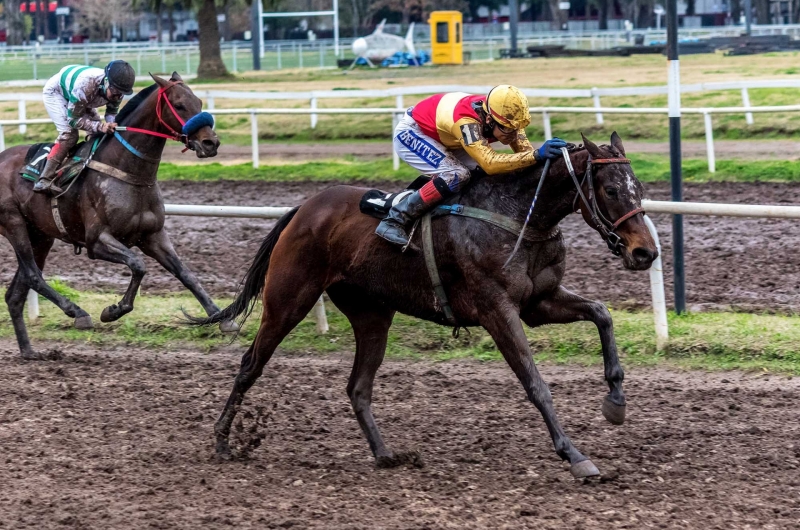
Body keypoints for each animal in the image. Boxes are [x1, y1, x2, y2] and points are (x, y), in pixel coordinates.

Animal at [1, 71, 234, 358]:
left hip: (41, 235)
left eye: (199, 102)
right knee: (33, 275)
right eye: (179, 105)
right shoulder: (97, 241)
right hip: (14, 223)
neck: (128, 172)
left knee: (16, 292)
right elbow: (138, 265)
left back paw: (28, 351)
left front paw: (222, 317)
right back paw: (77, 312)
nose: (210, 142)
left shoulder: (153, 236)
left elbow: (186, 273)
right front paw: (113, 311)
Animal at [192, 133, 656, 478]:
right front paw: (575, 456)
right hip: (288, 300)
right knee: (251, 364)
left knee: (358, 387)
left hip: (372, 314)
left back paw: (386, 454)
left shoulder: (537, 303)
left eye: (641, 189)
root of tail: (305, 208)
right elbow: (535, 383)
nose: (645, 252)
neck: (519, 215)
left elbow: (602, 313)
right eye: (612, 189)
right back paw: (222, 440)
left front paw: (616, 402)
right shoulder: (497, 310)